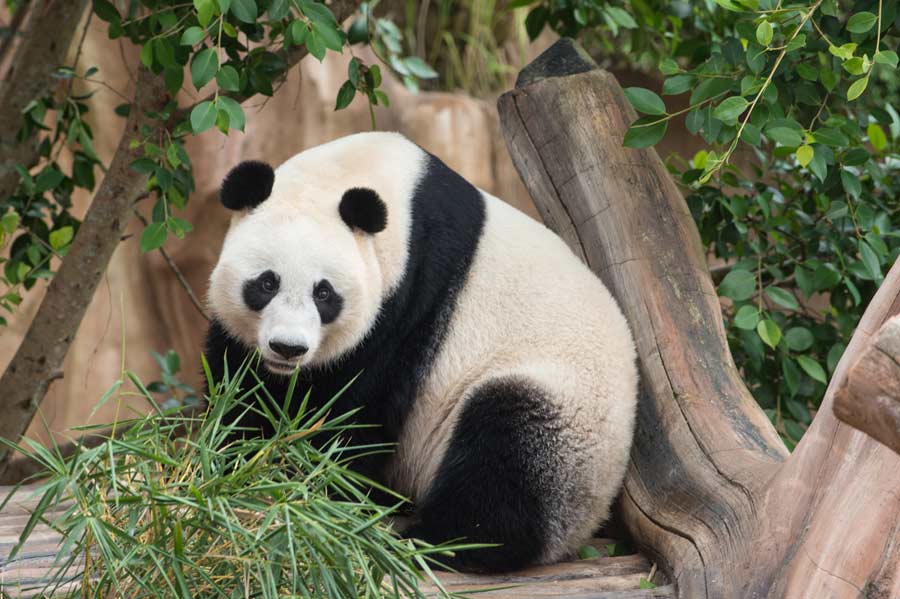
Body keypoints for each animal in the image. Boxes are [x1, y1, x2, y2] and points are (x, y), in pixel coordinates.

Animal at [204, 131, 640, 572]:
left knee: (506, 455)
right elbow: (240, 384)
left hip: (566, 415)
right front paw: (236, 465)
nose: (288, 348)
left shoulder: (409, 303)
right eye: (266, 283)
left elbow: (353, 411)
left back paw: (434, 540)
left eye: (323, 293)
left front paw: (313, 489)